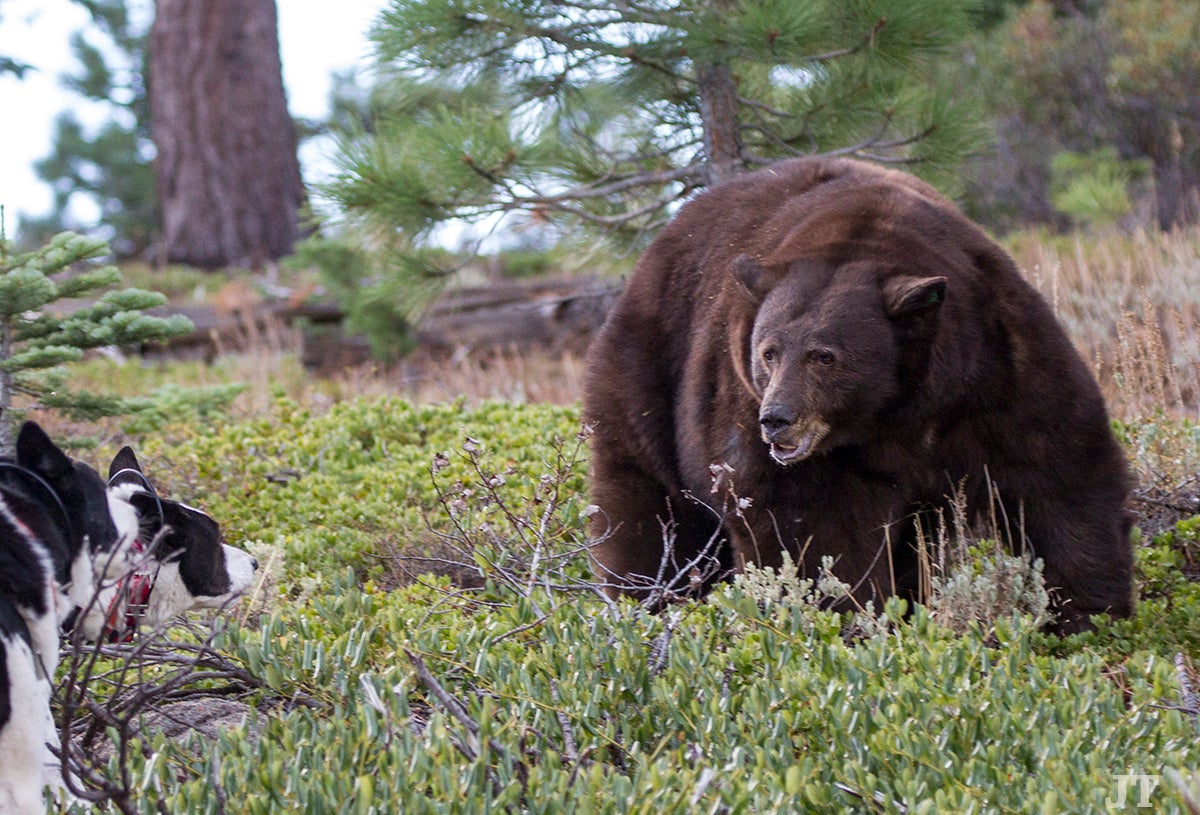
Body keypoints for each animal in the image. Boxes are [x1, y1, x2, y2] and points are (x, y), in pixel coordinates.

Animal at [585, 156, 1128, 633]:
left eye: (824, 356)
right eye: (768, 352)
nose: (776, 419)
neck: (900, 413)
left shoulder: (995, 358)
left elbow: (1058, 467)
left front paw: (1091, 617)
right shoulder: (769, 427)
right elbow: (812, 529)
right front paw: (849, 618)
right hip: (649, 376)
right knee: (653, 508)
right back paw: (650, 597)